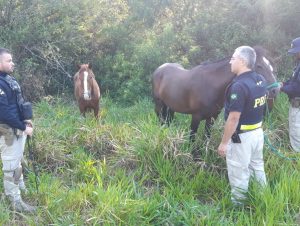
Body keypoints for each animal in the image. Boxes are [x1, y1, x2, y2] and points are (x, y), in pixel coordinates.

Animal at [151, 46, 280, 141]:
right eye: (259, 66)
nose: (276, 89)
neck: (210, 85)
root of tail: (159, 69)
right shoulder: (196, 117)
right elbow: (192, 139)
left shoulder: (212, 117)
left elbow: (207, 138)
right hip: (159, 105)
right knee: (161, 121)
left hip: (171, 107)